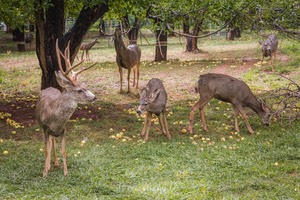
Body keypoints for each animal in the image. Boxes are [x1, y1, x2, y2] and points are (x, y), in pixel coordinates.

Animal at [35, 38, 96, 177]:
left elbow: (63, 150)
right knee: (50, 143)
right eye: (79, 90)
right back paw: (49, 165)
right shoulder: (45, 128)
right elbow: (46, 150)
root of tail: (49, 87)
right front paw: (44, 173)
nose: (94, 97)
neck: (55, 120)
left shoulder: (63, 129)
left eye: (85, 86)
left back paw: (55, 163)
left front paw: (65, 172)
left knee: (52, 142)